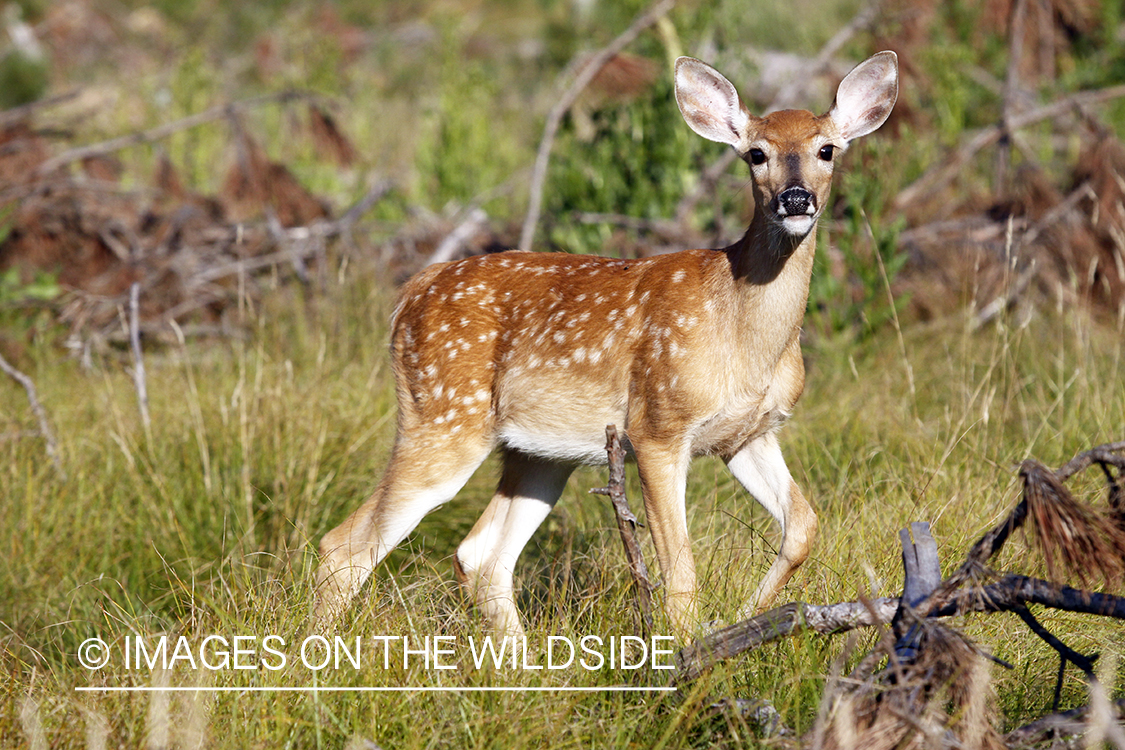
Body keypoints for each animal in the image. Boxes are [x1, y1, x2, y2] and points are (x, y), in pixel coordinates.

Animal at [316, 51, 898, 640]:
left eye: (827, 149)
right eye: (756, 153)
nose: (796, 199)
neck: (741, 330)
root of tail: (412, 290)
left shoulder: (749, 434)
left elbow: (803, 525)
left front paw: (752, 617)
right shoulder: (658, 425)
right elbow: (680, 570)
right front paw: (693, 651)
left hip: (538, 452)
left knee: (480, 555)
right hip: (443, 416)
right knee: (345, 545)